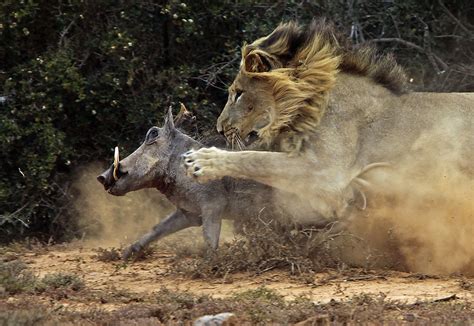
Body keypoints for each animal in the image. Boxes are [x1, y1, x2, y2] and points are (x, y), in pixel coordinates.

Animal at [182, 19, 474, 220]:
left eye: (238, 93)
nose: (220, 129)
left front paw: (201, 161)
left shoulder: (328, 171)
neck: (307, 107)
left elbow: (256, 159)